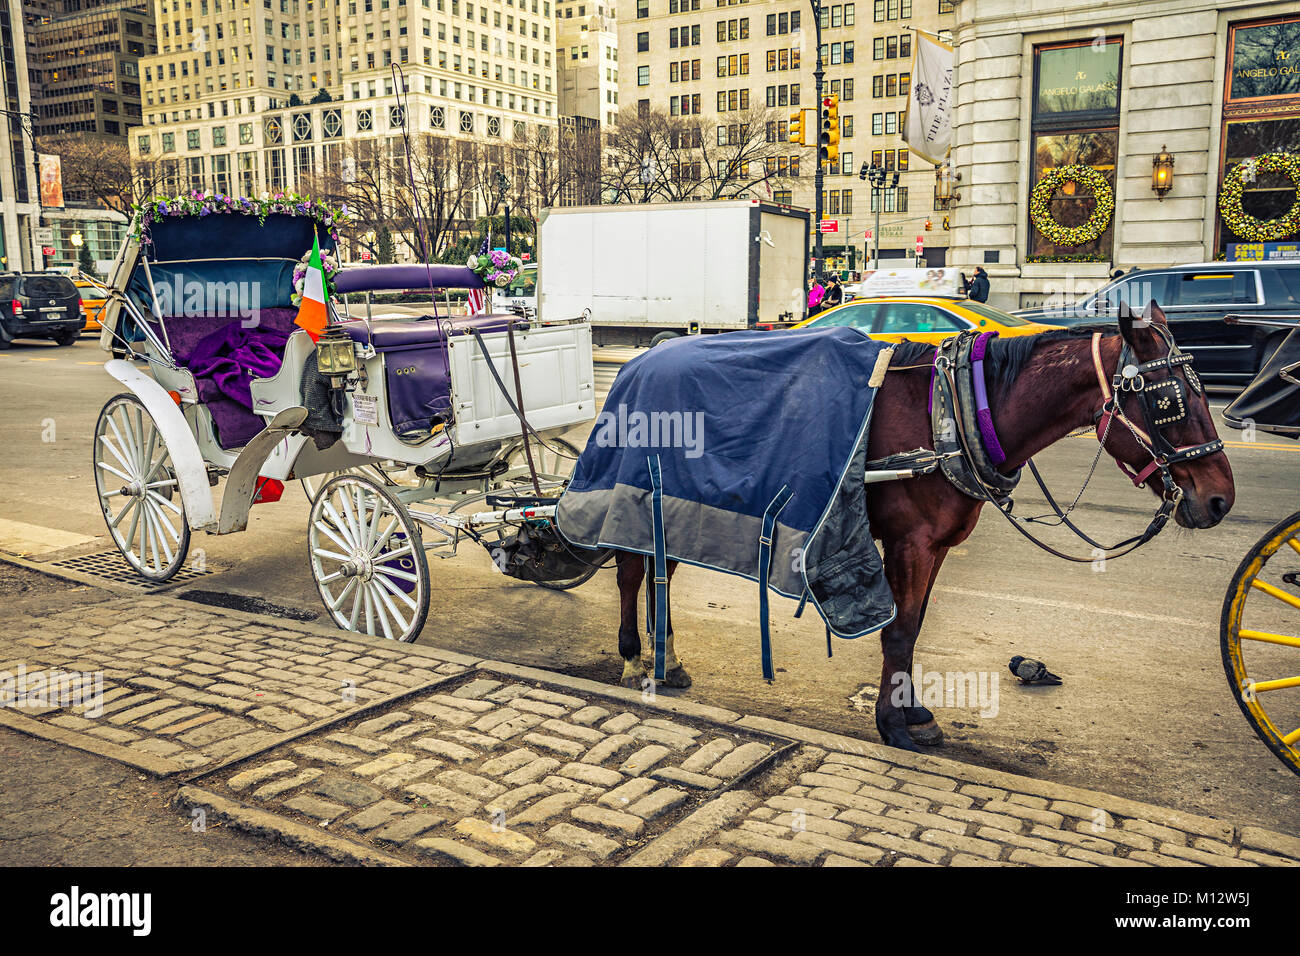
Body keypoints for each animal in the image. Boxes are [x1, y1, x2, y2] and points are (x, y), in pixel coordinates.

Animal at [611, 303, 1237, 749]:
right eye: (1169, 402)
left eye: (1201, 392)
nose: (1221, 500)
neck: (958, 412)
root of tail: (640, 359)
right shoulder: (908, 543)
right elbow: (899, 630)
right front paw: (893, 724)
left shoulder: (934, 547)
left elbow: (914, 628)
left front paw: (911, 711)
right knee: (630, 572)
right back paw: (632, 655)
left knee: (661, 570)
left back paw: (667, 659)